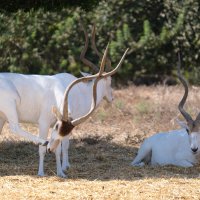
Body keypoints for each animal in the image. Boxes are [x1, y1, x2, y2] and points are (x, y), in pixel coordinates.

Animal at [0, 23, 128, 177]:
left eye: (58, 127)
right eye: (110, 82)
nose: (111, 98)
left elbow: (61, 148)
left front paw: (61, 171)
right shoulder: (44, 123)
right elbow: (48, 149)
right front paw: (43, 172)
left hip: (1, 117)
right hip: (10, 107)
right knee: (15, 127)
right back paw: (43, 142)